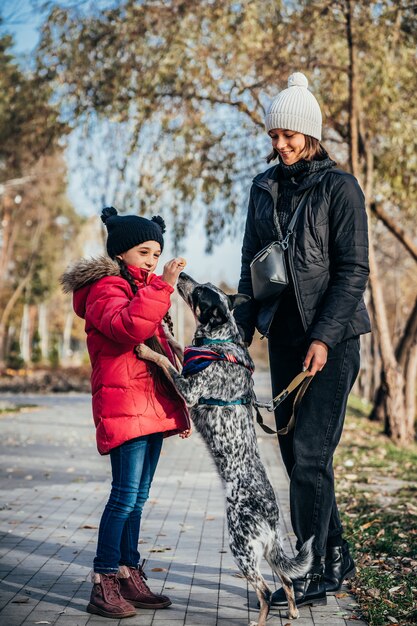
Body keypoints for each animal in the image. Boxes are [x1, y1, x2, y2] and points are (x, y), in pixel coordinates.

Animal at [136, 272, 312, 624]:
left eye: (201, 291)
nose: (183, 275)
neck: (220, 343)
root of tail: (272, 521)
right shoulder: (189, 360)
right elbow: (178, 346)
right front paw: (165, 331)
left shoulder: (189, 389)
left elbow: (165, 360)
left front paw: (146, 349)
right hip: (268, 552)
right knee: (286, 579)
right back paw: (294, 611)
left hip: (239, 547)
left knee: (263, 592)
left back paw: (259, 620)